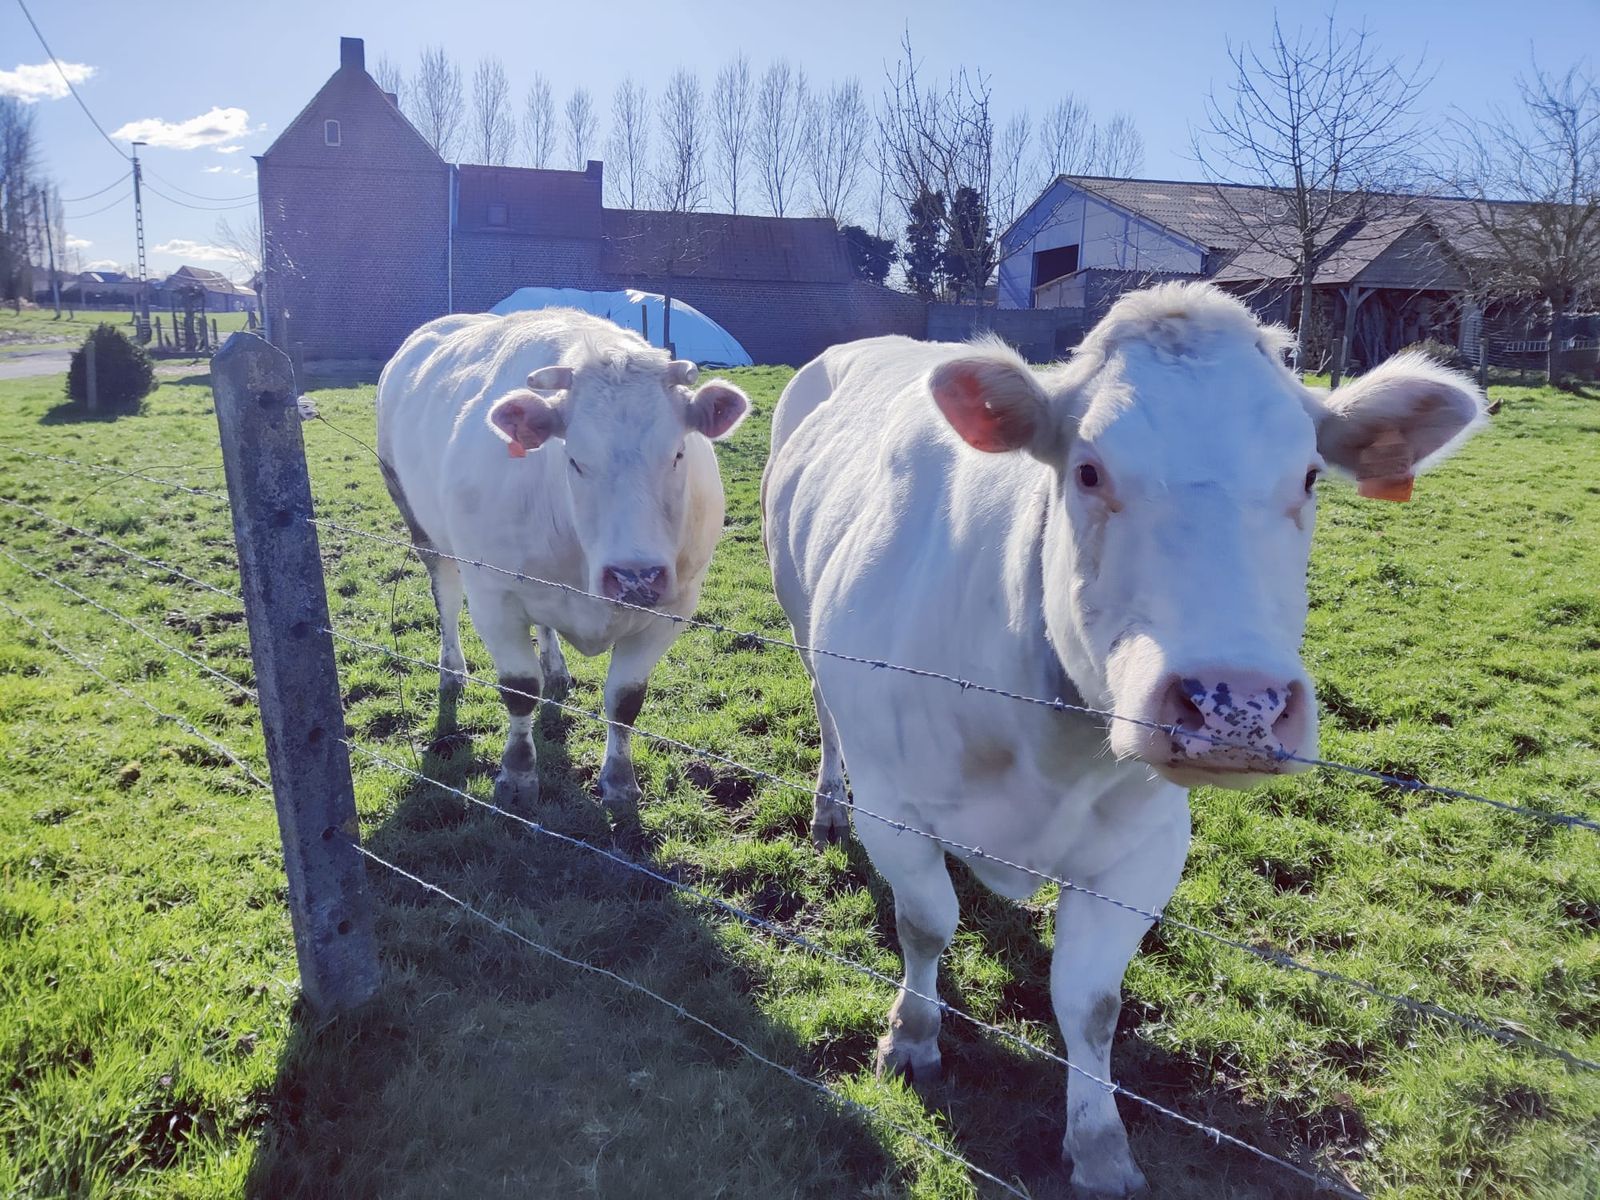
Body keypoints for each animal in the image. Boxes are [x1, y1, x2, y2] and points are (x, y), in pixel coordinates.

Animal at [376, 307, 748, 809]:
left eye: (678, 453)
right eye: (574, 459)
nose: (634, 578)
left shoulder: (675, 606)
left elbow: (625, 700)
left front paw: (619, 780)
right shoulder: (493, 595)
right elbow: (519, 690)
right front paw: (517, 775)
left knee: (545, 626)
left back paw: (556, 669)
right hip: (420, 524)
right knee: (447, 599)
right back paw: (453, 671)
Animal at [761, 284, 1484, 1200]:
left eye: (1310, 475)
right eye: (1089, 470)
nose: (1236, 705)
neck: (1041, 746)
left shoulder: (1146, 845)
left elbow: (1091, 1001)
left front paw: (1101, 1143)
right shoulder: (895, 806)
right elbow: (926, 924)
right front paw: (912, 1038)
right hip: (799, 616)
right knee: (826, 719)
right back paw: (826, 806)